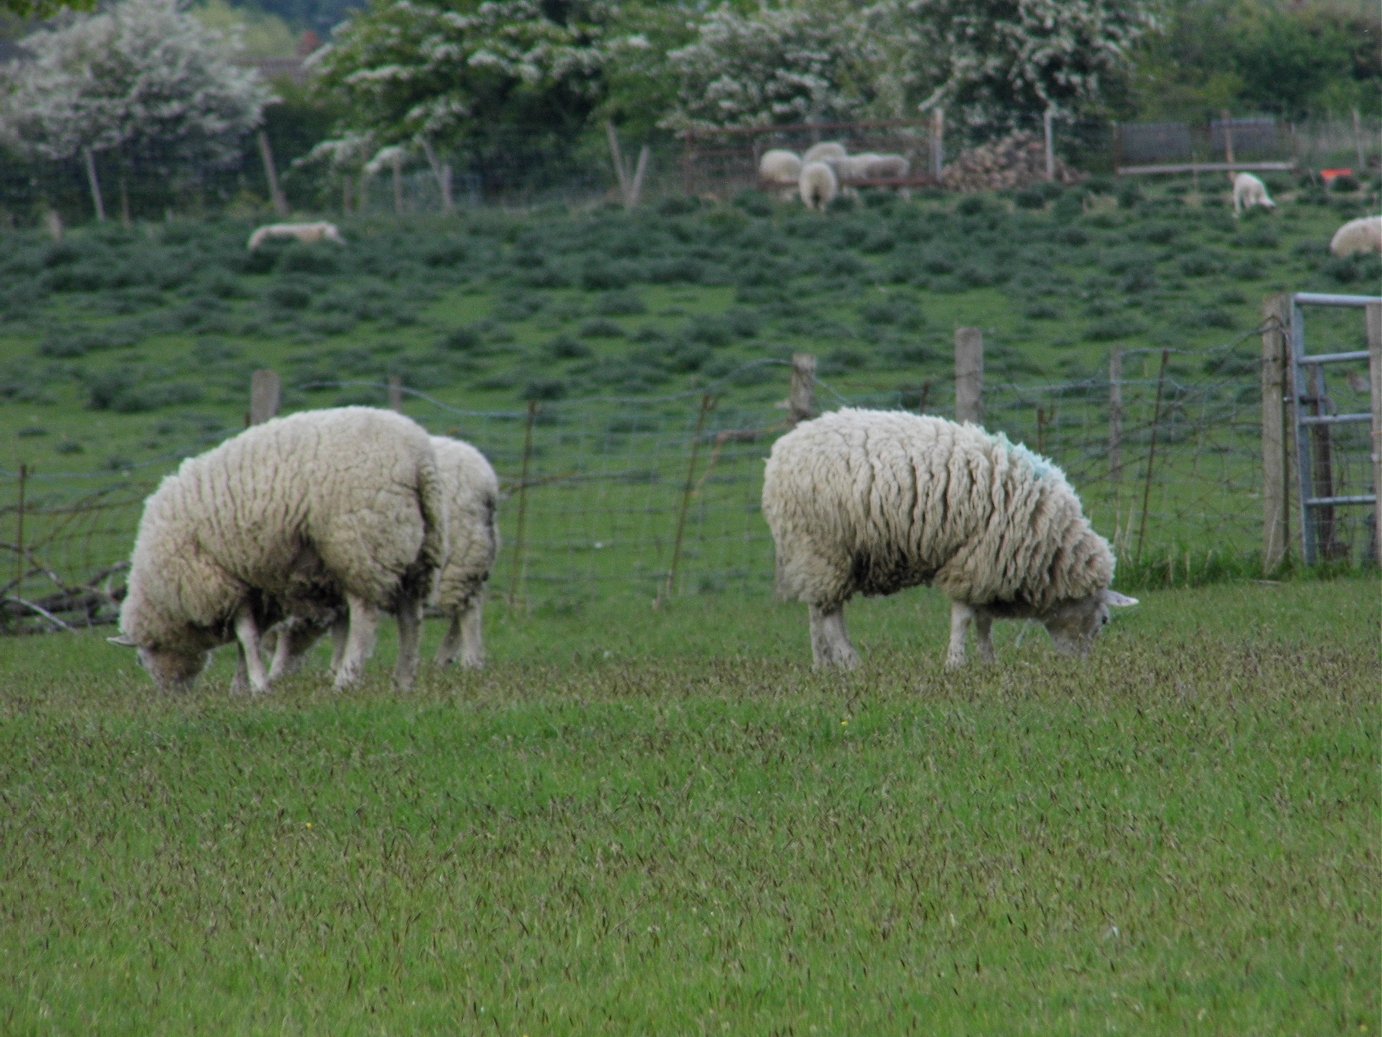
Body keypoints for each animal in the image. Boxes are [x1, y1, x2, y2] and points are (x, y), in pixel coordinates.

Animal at [114, 409, 447, 694]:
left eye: (141, 659)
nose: (171, 697)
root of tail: (419, 458)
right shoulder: (252, 586)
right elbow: (247, 639)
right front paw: (242, 687)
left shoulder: (222, 582)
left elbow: (246, 637)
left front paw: (258, 687)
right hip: (416, 547)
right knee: (411, 617)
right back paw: (403, 681)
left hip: (359, 544)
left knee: (365, 618)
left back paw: (346, 680)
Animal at [762, 409, 1138, 669]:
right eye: (1104, 620)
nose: (1080, 668)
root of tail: (781, 452)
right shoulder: (977, 558)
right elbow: (965, 618)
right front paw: (956, 663)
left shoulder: (988, 565)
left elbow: (983, 621)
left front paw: (988, 662)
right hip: (823, 546)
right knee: (830, 616)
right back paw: (850, 663)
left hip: (811, 553)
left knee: (817, 611)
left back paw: (822, 665)